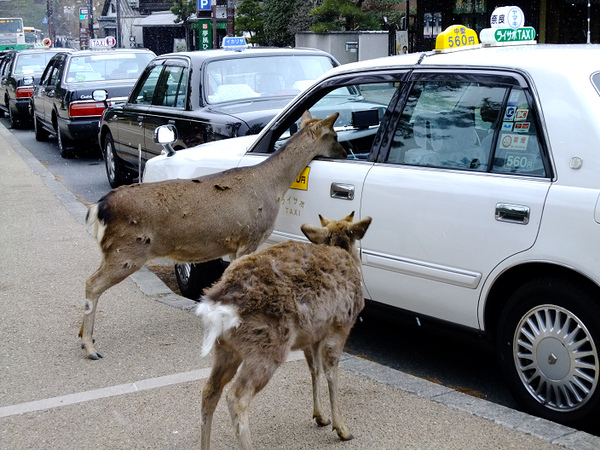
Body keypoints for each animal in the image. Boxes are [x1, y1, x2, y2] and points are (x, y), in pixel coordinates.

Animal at [80, 111, 344, 358]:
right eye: (334, 136)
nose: (345, 152)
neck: (274, 187)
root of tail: (98, 207)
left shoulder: (235, 245)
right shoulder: (250, 236)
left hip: (116, 250)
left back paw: (85, 339)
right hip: (127, 250)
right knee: (92, 283)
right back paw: (90, 347)